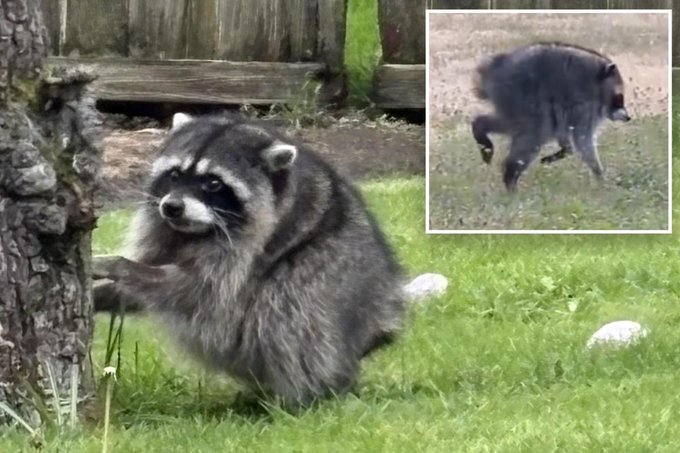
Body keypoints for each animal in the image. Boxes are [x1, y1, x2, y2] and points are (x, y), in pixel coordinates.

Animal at [93, 113, 406, 405]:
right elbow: (145, 284)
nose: (172, 207)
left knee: (288, 305)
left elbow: (197, 292)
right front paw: (105, 292)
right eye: (175, 174)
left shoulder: (247, 250)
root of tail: (380, 322)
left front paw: (120, 265)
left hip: (334, 278)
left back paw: (304, 395)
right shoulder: (163, 231)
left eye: (213, 183)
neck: (196, 231)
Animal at [471, 42, 631, 191]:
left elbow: (564, 132)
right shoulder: (585, 107)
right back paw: (510, 175)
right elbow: (583, 140)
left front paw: (566, 150)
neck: (598, 81)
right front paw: (599, 173)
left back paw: (480, 126)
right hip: (518, 94)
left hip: (511, 99)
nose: (628, 117)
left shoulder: (570, 111)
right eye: (619, 98)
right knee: (535, 131)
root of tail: (494, 67)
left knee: (518, 126)